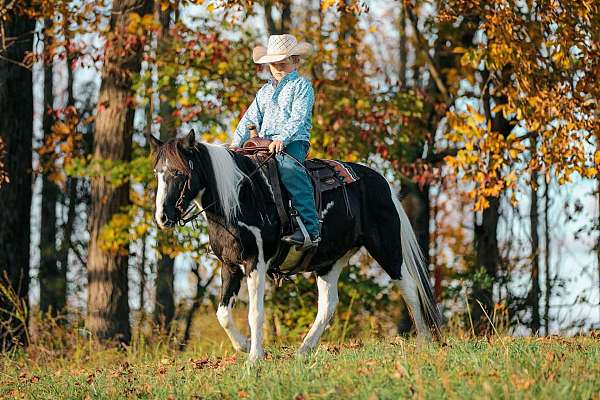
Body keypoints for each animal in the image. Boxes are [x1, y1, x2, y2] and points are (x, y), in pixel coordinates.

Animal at [150, 131, 440, 362]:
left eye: (178, 172)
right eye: (158, 173)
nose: (163, 218)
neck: (239, 196)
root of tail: (382, 182)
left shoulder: (256, 262)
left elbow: (255, 312)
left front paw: (255, 357)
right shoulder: (230, 266)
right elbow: (223, 314)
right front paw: (245, 346)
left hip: (386, 247)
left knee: (409, 287)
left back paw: (424, 341)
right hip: (329, 262)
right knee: (328, 305)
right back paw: (304, 350)